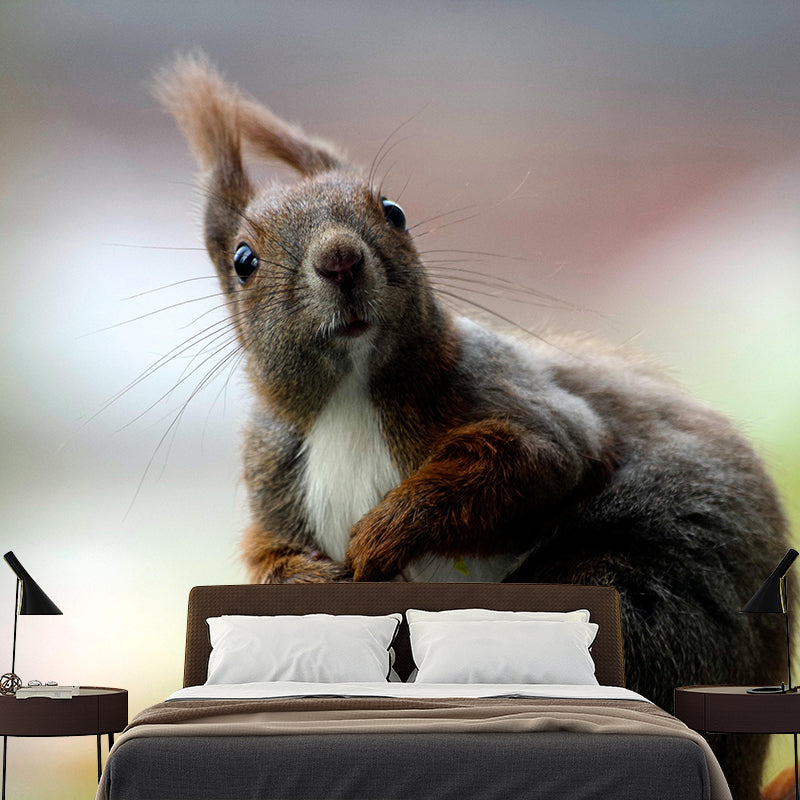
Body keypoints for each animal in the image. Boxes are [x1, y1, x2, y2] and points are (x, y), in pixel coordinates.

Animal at [154, 52, 787, 799]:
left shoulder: (523, 404)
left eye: (393, 211)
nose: (340, 258)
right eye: (244, 261)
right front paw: (307, 582)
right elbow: (272, 555)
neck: (351, 397)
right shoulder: (273, 474)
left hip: (643, 602)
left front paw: (385, 531)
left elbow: (531, 460)